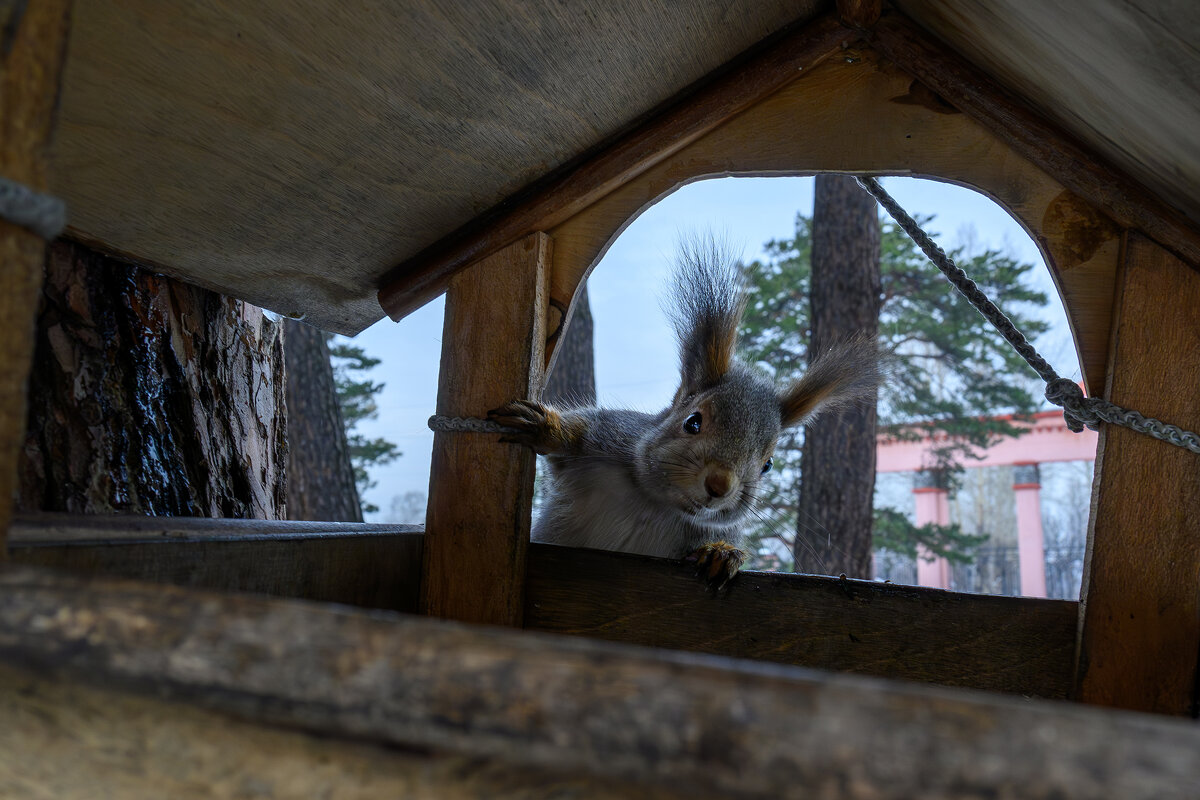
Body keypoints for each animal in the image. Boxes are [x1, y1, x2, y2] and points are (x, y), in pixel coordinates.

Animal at [489, 239, 883, 587]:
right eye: (692, 422)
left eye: (768, 464)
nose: (719, 485)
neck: (656, 504)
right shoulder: (610, 437)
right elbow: (575, 439)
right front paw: (546, 428)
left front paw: (722, 553)